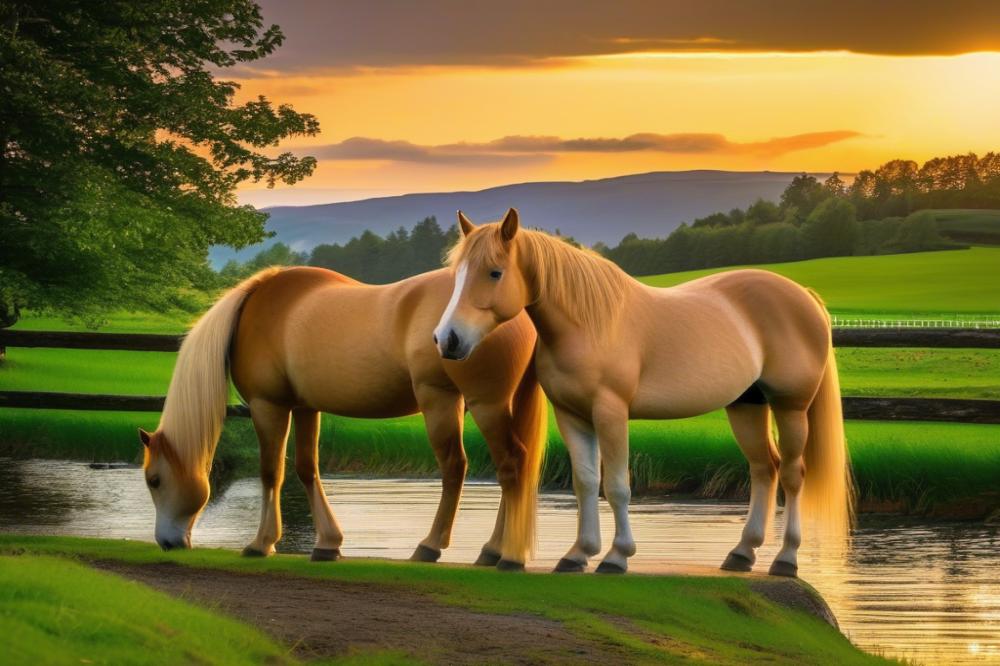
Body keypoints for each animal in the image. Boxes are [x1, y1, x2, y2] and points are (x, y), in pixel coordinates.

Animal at [138, 265, 546, 570]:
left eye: (154, 480)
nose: (167, 542)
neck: (255, 312)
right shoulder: (304, 406)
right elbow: (306, 469)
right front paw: (328, 544)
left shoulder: (268, 405)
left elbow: (271, 472)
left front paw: (261, 543)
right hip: (495, 405)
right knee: (513, 468)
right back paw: (493, 551)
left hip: (465, 403)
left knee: (477, 466)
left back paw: (441, 547)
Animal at [434, 209, 853, 577]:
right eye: (458, 275)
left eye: (495, 272)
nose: (447, 339)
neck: (590, 323)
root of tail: (805, 297)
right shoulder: (572, 416)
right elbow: (585, 482)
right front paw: (577, 554)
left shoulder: (610, 413)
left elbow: (617, 485)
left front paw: (616, 557)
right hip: (747, 405)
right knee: (766, 468)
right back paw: (742, 553)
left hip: (790, 406)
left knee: (794, 474)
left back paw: (786, 559)